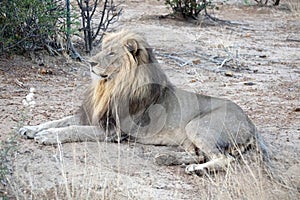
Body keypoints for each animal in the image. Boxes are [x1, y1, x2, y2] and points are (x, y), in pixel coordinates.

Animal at [18, 29, 270, 175]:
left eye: (112, 53)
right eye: (103, 49)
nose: (90, 62)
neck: (111, 85)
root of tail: (252, 124)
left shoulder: (114, 130)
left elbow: (73, 129)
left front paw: (48, 137)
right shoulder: (92, 115)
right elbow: (59, 120)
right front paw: (31, 128)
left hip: (197, 125)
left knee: (224, 159)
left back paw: (196, 170)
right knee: (200, 154)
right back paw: (166, 158)